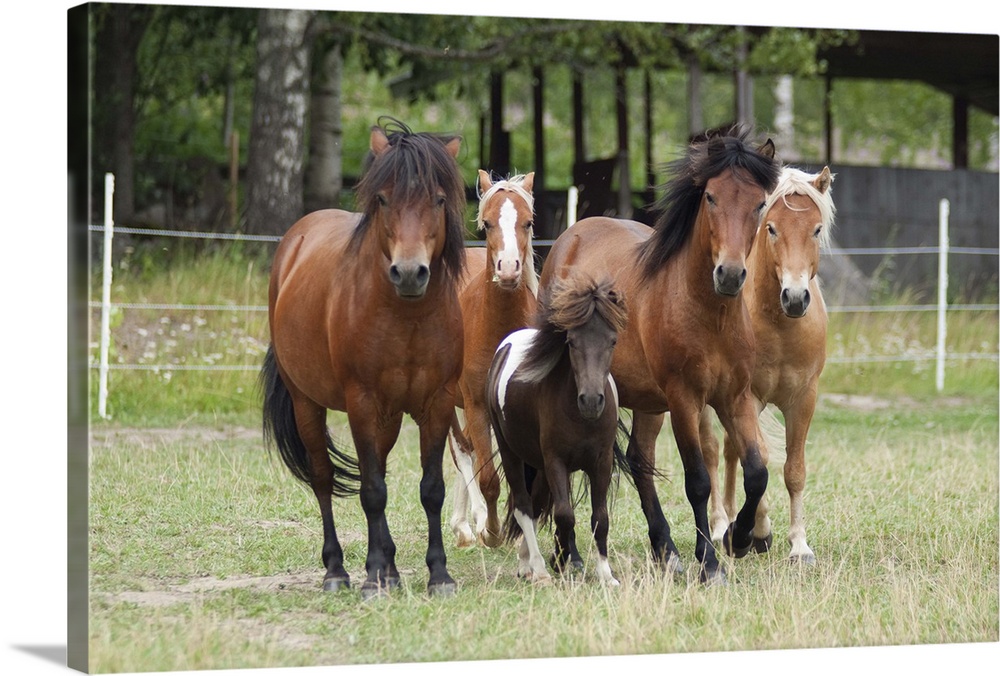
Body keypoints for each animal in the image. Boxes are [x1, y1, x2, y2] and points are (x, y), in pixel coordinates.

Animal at [262, 119, 472, 600]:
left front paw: (439, 575)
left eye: (438, 199)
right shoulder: (361, 403)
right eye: (383, 199)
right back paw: (338, 571)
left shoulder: (436, 403)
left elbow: (430, 489)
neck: (406, 315)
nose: (410, 273)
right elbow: (372, 491)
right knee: (323, 479)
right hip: (307, 404)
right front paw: (373, 575)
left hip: (389, 418)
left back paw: (391, 569)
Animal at [488, 274, 628, 588]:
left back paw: (527, 564)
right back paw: (539, 570)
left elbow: (600, 518)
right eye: (572, 342)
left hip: (538, 465)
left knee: (537, 504)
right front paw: (562, 561)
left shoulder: (601, 462)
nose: (591, 400)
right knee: (524, 507)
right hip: (511, 453)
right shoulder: (556, 461)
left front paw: (606, 575)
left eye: (613, 341)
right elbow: (564, 515)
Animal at [540, 128, 780, 588]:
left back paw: (665, 551)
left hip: (648, 401)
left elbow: (757, 472)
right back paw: (571, 555)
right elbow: (698, 481)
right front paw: (710, 564)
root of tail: (572, 235)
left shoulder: (735, 397)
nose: (730, 275)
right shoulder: (685, 399)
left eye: (759, 203)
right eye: (711, 197)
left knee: (639, 459)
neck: (708, 312)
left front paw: (740, 538)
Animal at [704, 165, 836, 564]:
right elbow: (758, 459)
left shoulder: (803, 400)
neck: (781, 326)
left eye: (817, 229)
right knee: (712, 450)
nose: (794, 297)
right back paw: (720, 525)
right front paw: (758, 532)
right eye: (772, 228)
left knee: (729, 450)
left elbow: (794, 470)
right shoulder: (749, 398)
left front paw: (799, 545)